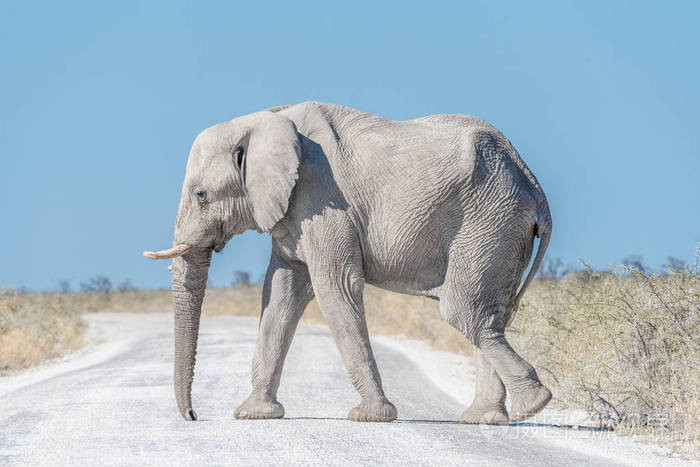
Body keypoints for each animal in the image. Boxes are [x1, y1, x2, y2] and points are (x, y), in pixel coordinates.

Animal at [144, 101, 553, 425]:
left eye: (201, 195)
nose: (193, 416)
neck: (264, 120)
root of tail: (534, 186)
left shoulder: (323, 200)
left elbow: (334, 288)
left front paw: (370, 417)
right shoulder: (292, 212)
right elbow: (281, 294)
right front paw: (253, 414)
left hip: (490, 221)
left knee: (464, 311)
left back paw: (534, 405)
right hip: (500, 227)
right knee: (491, 314)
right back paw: (486, 418)